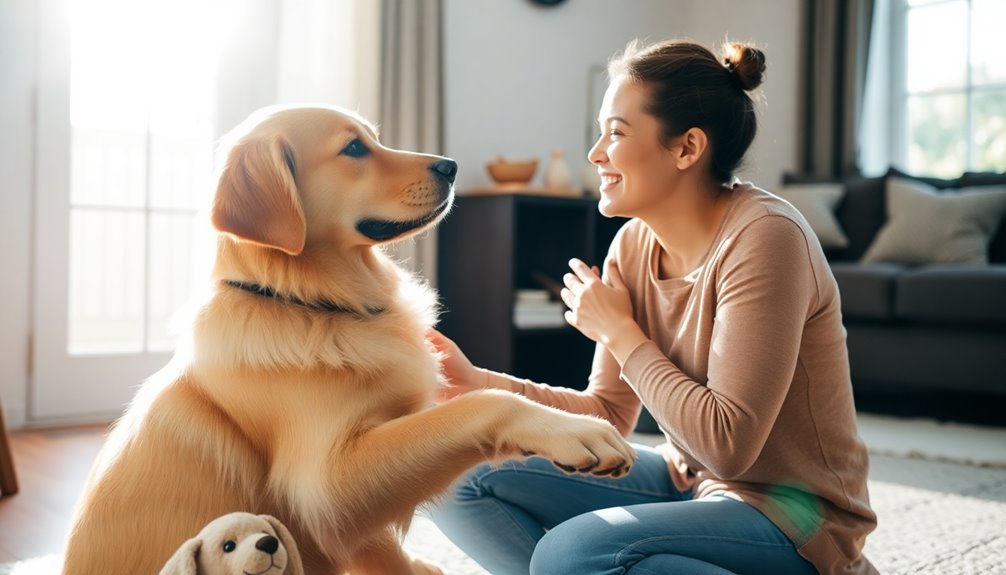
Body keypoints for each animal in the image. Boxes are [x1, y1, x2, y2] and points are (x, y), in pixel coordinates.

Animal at [62, 106, 631, 575]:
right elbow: (484, 402)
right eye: (354, 148)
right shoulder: (324, 488)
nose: (450, 167)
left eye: (373, 138)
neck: (310, 302)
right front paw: (576, 431)